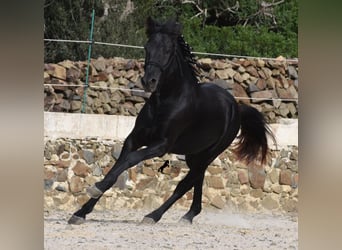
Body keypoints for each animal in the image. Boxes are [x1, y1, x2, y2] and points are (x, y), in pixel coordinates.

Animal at [68, 17, 276, 225]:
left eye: (168, 50)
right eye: (147, 47)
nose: (149, 81)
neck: (167, 101)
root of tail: (236, 107)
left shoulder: (161, 145)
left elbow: (130, 160)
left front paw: (95, 189)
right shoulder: (134, 139)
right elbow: (117, 168)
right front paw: (81, 212)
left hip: (209, 154)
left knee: (185, 185)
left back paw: (153, 216)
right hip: (194, 155)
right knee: (197, 180)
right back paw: (189, 216)